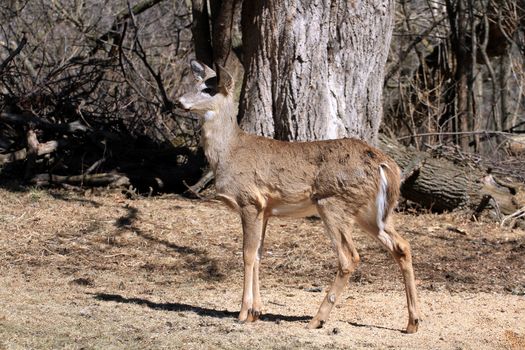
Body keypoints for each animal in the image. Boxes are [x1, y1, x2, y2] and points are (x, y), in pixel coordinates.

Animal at [178, 60, 420, 334]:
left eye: (208, 89)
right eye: (196, 83)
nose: (179, 101)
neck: (228, 152)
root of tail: (386, 165)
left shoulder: (250, 201)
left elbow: (247, 254)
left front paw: (242, 313)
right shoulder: (266, 209)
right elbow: (259, 254)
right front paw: (256, 312)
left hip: (332, 203)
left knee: (350, 258)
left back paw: (317, 319)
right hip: (371, 213)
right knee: (402, 246)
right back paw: (412, 323)